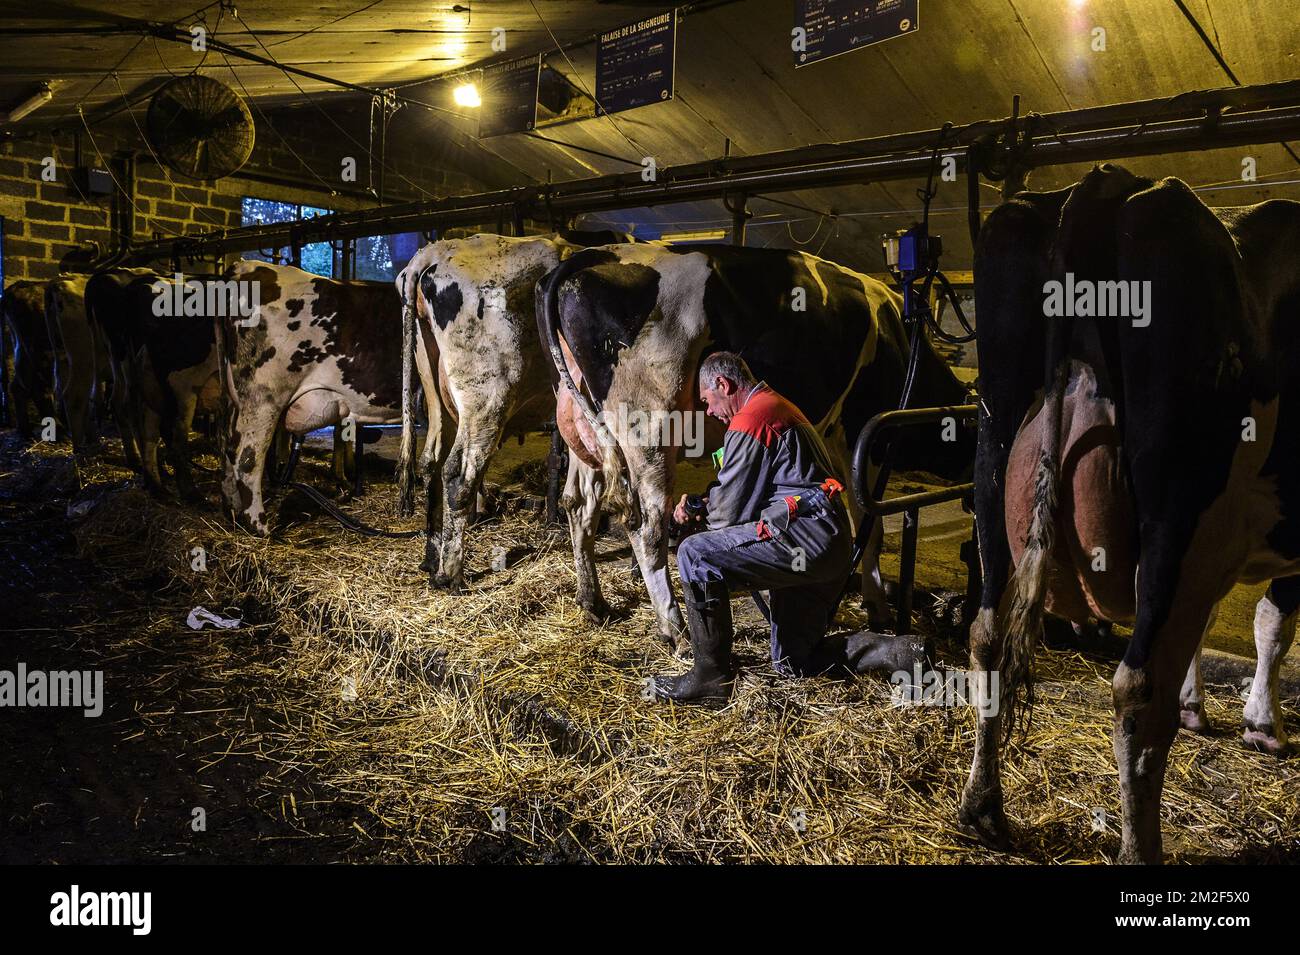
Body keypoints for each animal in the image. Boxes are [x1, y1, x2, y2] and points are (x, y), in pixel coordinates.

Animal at [538, 242, 977, 654]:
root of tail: (595, 254)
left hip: (585, 429)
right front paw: (878, 610)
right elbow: (869, 524)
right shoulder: (860, 434)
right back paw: (674, 629)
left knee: (579, 503)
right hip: (649, 426)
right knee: (645, 527)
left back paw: (592, 603)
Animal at [961, 164, 1294, 867]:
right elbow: (1272, 626)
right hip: (1182, 506)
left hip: (992, 457)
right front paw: (1262, 727)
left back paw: (982, 811)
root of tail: (1110, 183)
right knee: (1138, 691)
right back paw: (1141, 853)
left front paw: (1203, 710)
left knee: (987, 637)